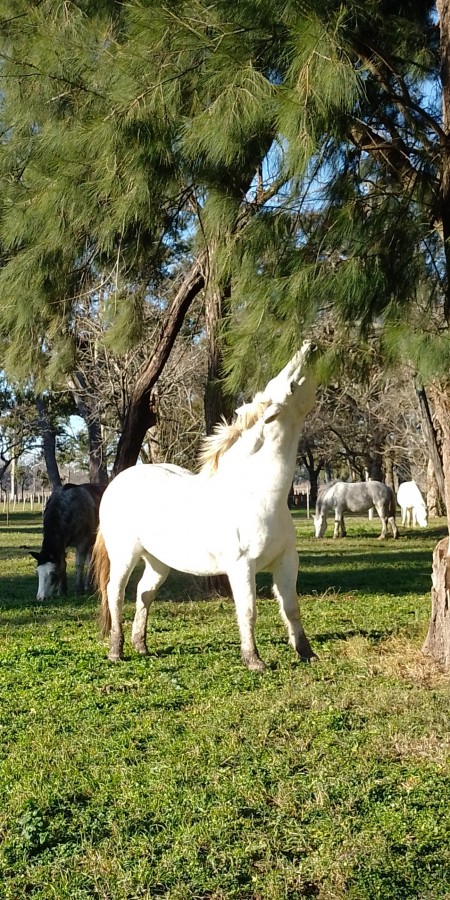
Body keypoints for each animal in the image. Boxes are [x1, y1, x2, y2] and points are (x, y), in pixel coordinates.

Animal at [91, 342, 316, 672]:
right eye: (289, 385)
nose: (310, 346)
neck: (257, 494)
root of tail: (116, 483)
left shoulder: (287, 561)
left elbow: (291, 608)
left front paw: (306, 653)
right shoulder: (241, 566)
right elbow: (248, 611)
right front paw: (253, 660)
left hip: (158, 561)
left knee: (144, 593)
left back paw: (141, 646)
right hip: (125, 555)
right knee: (115, 594)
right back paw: (116, 651)